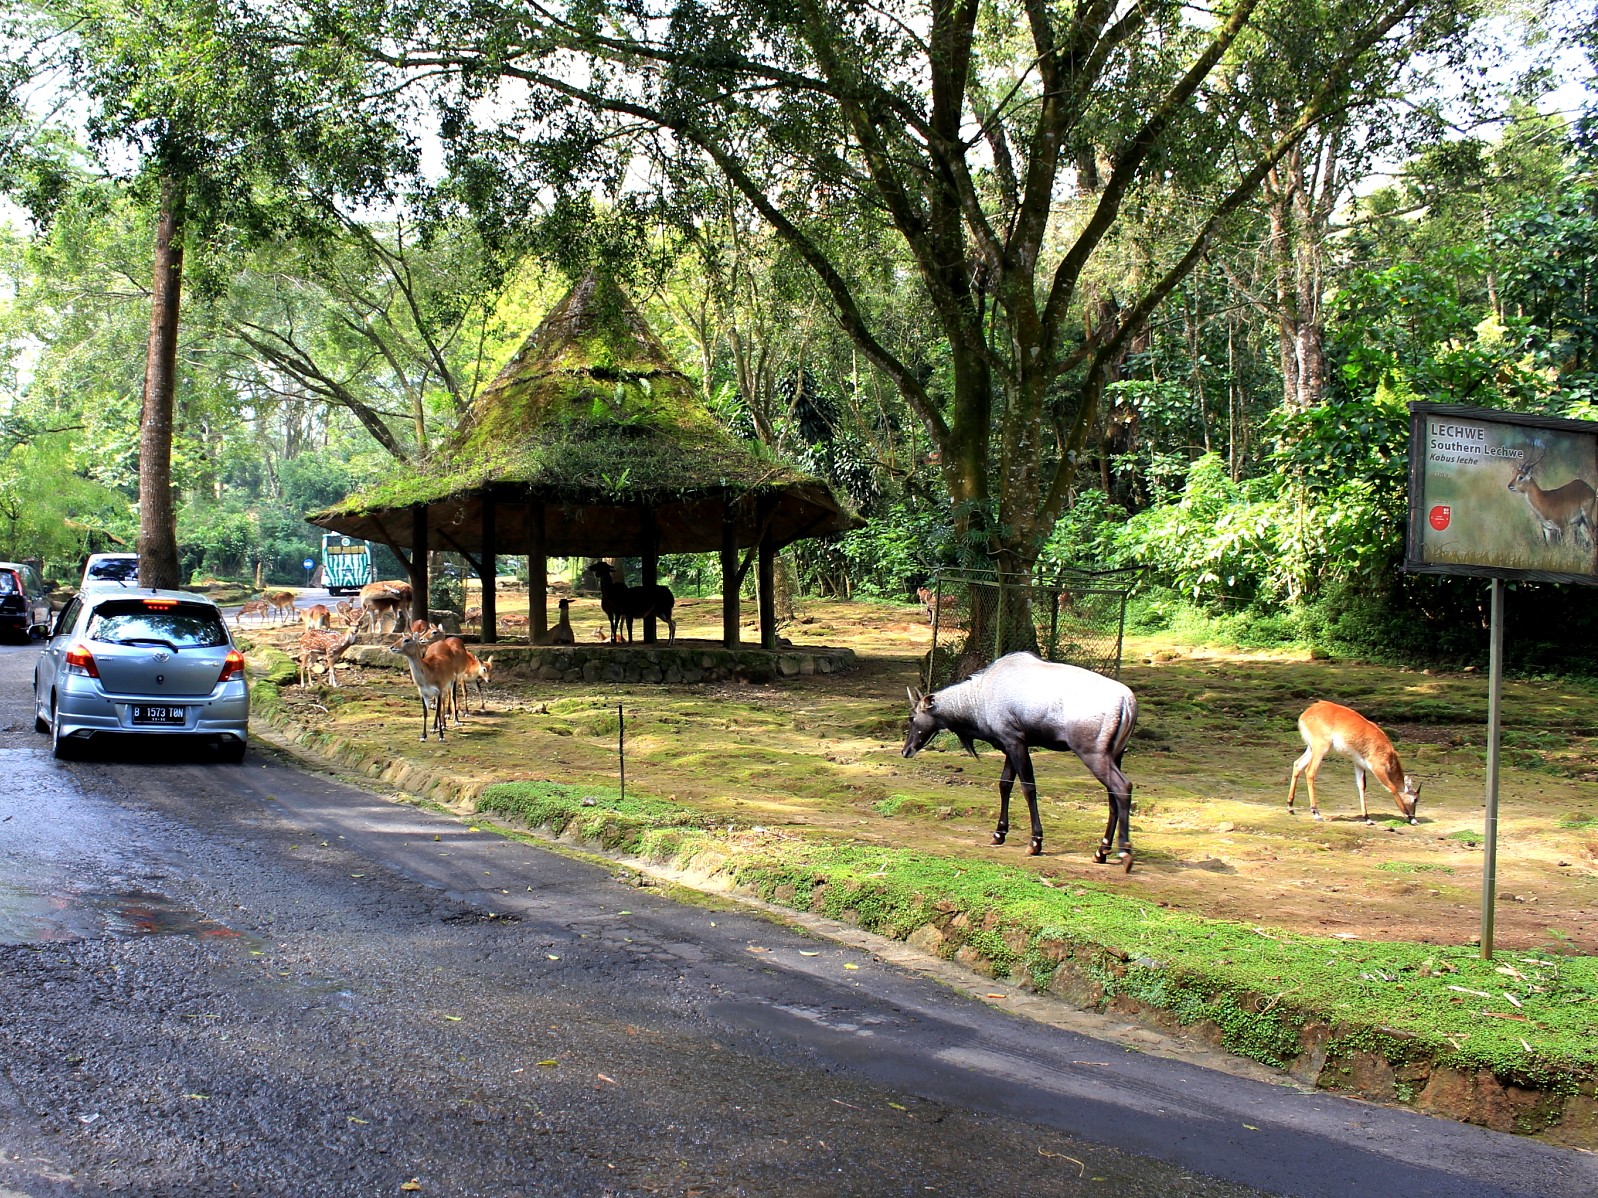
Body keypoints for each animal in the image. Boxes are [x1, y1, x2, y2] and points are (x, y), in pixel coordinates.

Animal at [901, 651, 1137, 868]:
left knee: (1122, 787)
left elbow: (1027, 787)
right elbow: (1005, 784)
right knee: (1113, 795)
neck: (979, 696)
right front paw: (999, 834)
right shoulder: (1010, 745)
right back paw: (1101, 851)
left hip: (1093, 754)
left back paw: (1124, 853)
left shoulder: (1014, 741)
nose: (906, 750)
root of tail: (1128, 702)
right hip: (1115, 755)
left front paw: (1035, 843)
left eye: (912, 718)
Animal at [1284, 702, 1425, 824]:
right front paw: (1410, 818)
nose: (1413, 815)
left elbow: (1361, 786)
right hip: (1320, 748)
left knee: (1297, 764)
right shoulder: (1377, 767)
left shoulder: (1359, 764)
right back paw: (1316, 813)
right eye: (1415, 799)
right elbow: (1391, 787)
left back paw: (1290, 807)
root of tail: (1307, 712)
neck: (1387, 752)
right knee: (1310, 772)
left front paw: (1367, 818)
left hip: (1311, 748)